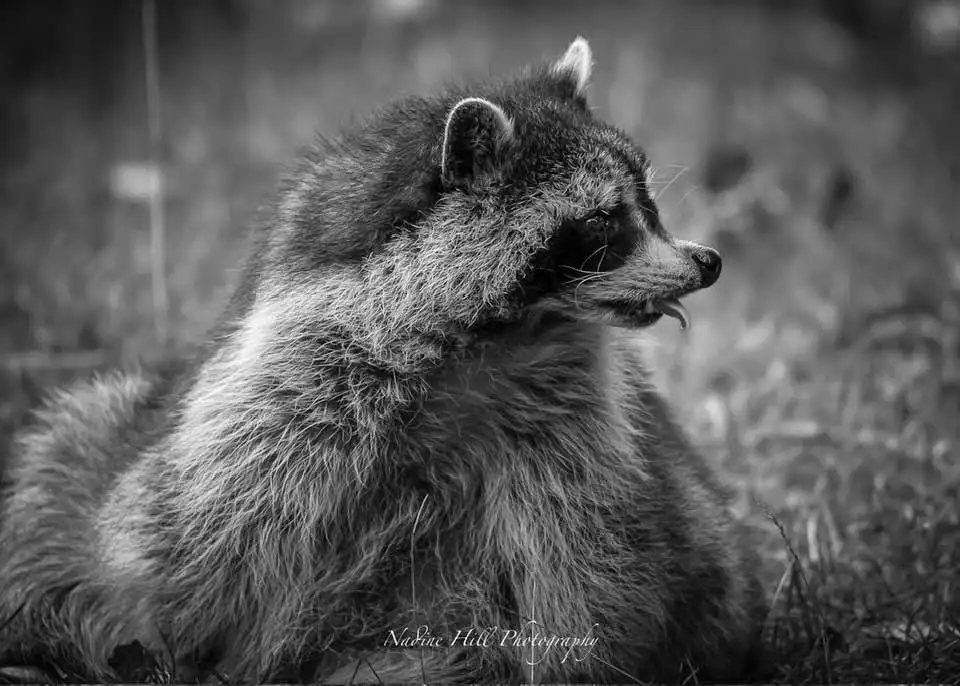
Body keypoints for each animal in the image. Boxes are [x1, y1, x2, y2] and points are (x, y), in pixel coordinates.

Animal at [0, 38, 767, 684]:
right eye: (606, 220)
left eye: (649, 205)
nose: (708, 261)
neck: (494, 339)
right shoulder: (288, 388)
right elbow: (204, 535)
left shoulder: (567, 425)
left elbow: (584, 554)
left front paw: (578, 665)